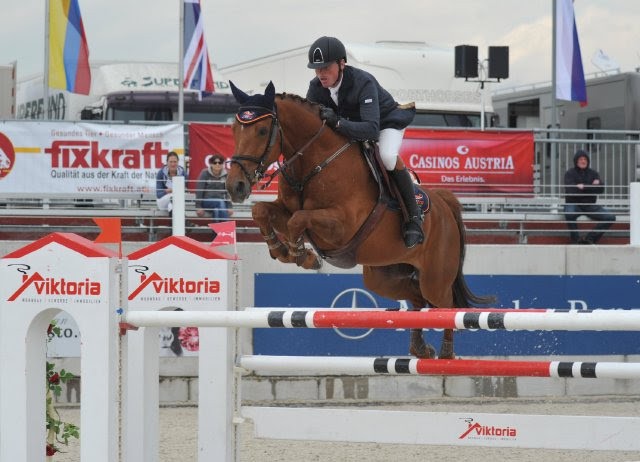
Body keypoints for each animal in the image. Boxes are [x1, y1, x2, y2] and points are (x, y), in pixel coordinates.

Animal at [228, 82, 492, 358]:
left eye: (262, 130)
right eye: (234, 128)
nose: (235, 186)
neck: (315, 162)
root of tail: (444, 201)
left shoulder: (341, 226)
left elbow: (297, 221)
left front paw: (302, 255)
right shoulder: (286, 211)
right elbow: (262, 211)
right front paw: (282, 251)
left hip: (435, 278)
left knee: (446, 306)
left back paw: (446, 355)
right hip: (382, 276)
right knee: (417, 299)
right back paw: (421, 349)